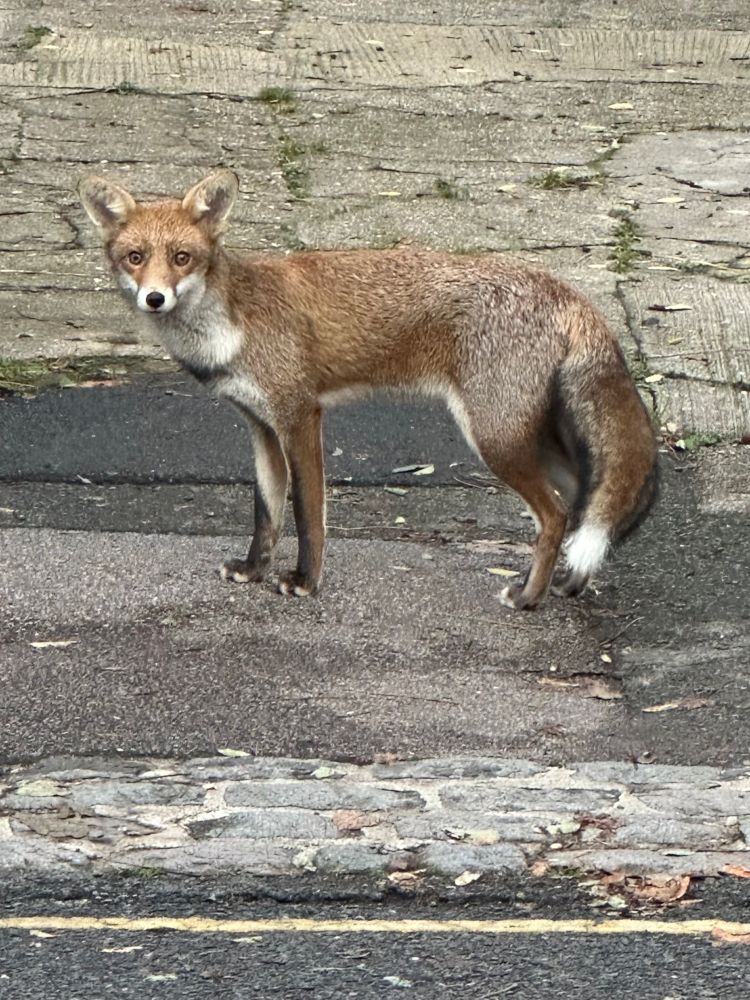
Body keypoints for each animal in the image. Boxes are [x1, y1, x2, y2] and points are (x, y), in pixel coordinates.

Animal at [78, 168, 658, 610]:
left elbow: (308, 514)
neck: (231, 323)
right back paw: (571, 584)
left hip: (496, 440)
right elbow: (266, 513)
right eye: (135, 257)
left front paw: (305, 582)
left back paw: (529, 597)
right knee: (587, 505)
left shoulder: (300, 416)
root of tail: (565, 289)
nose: (155, 298)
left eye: (181, 257)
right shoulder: (260, 427)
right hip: (534, 442)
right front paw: (252, 570)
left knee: (557, 515)